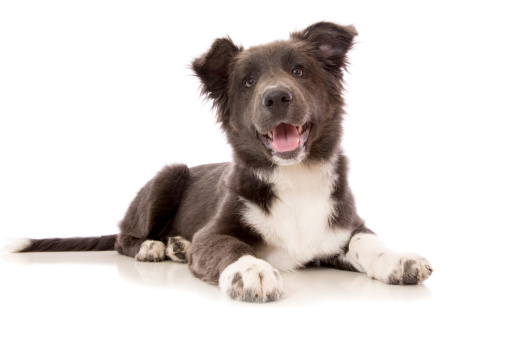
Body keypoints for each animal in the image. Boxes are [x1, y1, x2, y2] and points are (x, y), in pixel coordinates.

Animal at [11, 23, 432, 304]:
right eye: (247, 82)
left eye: (299, 71)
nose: (276, 97)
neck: (294, 177)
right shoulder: (212, 233)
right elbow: (232, 247)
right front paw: (251, 270)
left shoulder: (345, 226)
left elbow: (368, 241)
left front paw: (398, 259)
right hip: (168, 176)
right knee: (122, 238)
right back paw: (155, 248)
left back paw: (177, 246)